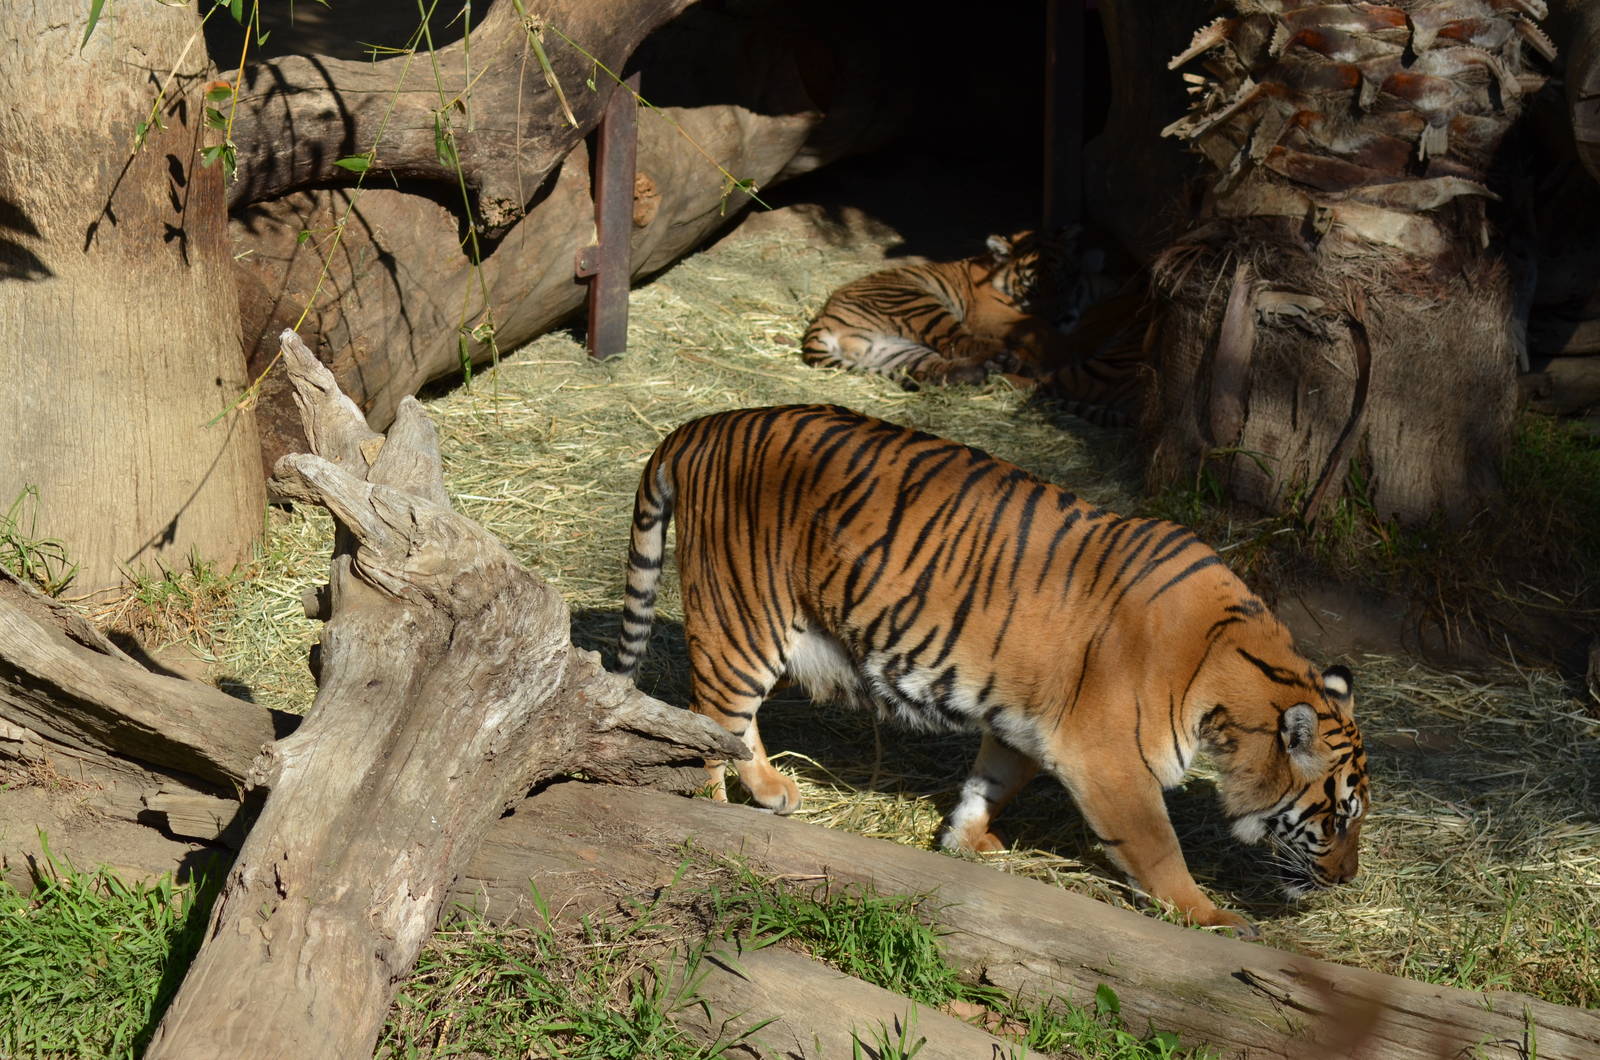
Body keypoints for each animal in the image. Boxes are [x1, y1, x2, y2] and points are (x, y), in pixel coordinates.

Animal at [613, 404, 1368, 933]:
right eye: (1338, 819)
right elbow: (1160, 850)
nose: (1347, 880)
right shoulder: (1111, 762)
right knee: (712, 722)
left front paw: (965, 840)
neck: (1228, 679)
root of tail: (702, 424)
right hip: (742, 626)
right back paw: (730, 810)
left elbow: (992, 783)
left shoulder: (1029, 724)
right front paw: (1214, 918)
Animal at [800, 230, 1071, 386]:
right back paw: (1008, 359)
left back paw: (977, 372)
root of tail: (821, 321)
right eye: (1032, 289)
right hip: (918, 304)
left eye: (1061, 284)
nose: (1058, 314)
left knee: (933, 367)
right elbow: (1038, 326)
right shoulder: (990, 313)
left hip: (890, 349)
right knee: (958, 343)